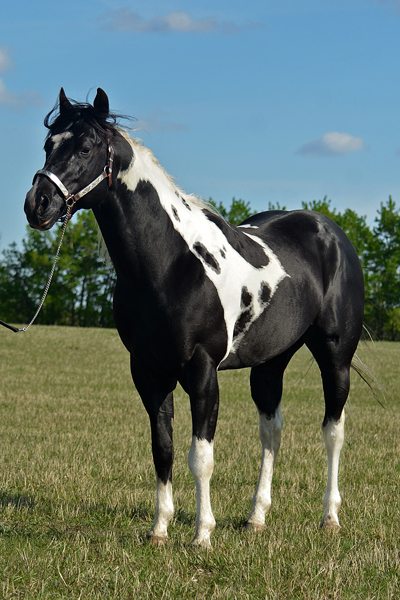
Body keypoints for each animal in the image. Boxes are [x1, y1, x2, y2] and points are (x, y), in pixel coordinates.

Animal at [22, 89, 366, 548]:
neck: (170, 264)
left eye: (85, 147)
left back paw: (330, 517)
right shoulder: (148, 372)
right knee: (271, 431)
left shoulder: (202, 371)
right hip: (271, 361)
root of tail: (331, 233)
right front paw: (160, 529)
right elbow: (162, 449)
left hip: (335, 356)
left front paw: (203, 533)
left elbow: (201, 456)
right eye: (49, 145)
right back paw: (256, 517)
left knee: (333, 431)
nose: (37, 204)